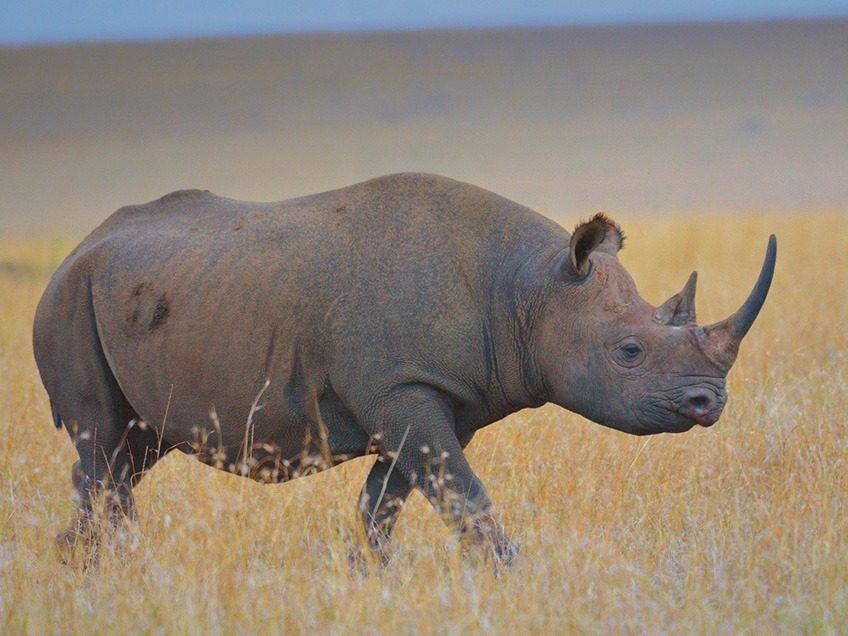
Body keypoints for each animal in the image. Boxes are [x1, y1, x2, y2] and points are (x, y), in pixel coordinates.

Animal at [33, 173, 776, 564]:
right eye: (630, 352)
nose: (710, 402)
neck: (528, 289)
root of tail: (75, 249)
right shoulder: (403, 387)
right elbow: (465, 498)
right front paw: (509, 579)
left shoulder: (432, 398)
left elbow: (384, 506)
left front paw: (369, 579)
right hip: (67, 301)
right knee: (102, 445)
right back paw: (115, 571)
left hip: (130, 297)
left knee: (128, 453)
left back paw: (80, 569)